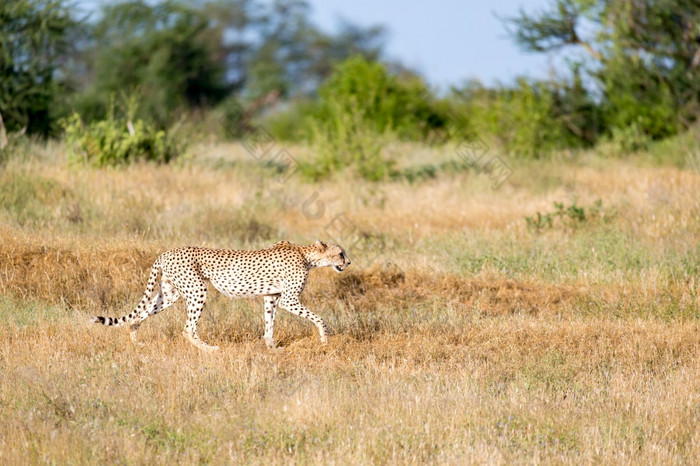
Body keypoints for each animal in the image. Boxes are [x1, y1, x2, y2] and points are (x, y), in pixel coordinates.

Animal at [91, 242, 350, 352]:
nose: (348, 262)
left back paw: (136, 340)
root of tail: (166, 252)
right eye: (340, 253)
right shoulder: (288, 299)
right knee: (187, 328)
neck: (307, 255)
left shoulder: (271, 296)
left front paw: (272, 347)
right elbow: (319, 318)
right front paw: (325, 339)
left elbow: (269, 323)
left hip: (170, 293)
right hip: (197, 290)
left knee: (138, 316)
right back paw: (208, 349)